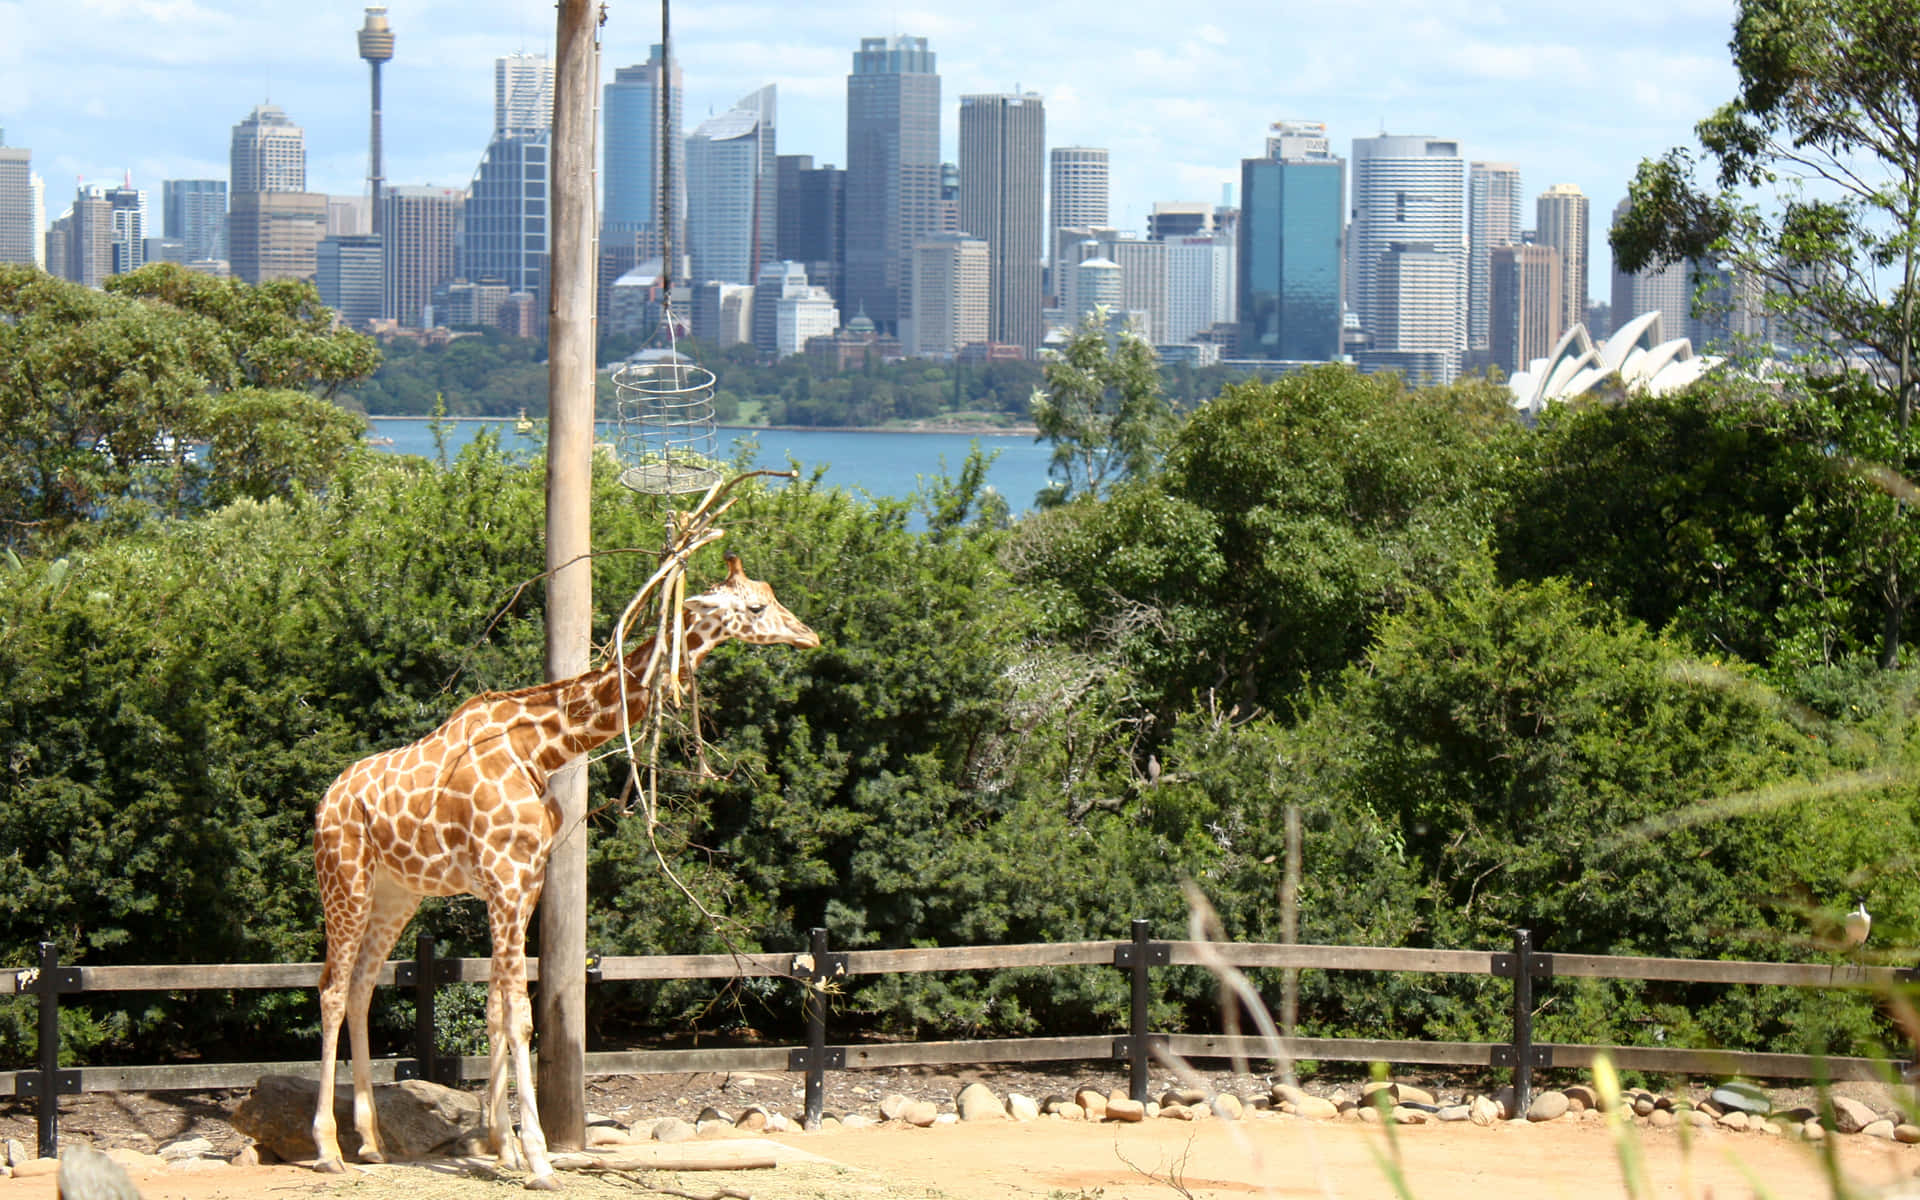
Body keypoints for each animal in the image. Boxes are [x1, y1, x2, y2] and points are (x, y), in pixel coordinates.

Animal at [309, 552, 817, 1190]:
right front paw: (539, 1160)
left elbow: (497, 1011)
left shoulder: (523, 883)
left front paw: (500, 1146)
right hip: (343, 877)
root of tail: (325, 800)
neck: (542, 749)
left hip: (395, 894)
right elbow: (522, 1019)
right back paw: (328, 1147)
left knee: (359, 989)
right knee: (330, 989)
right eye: (755, 606)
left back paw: (372, 1143)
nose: (809, 635)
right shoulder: (505, 878)